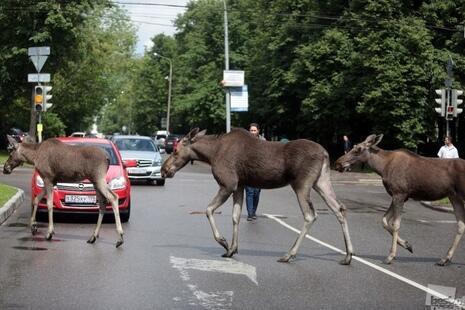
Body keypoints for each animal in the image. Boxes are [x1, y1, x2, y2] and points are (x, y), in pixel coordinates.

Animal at [161, 127, 354, 266]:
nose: (164, 170)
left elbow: (208, 210)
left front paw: (223, 242)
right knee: (339, 208)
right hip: (321, 182)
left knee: (310, 215)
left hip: (302, 185)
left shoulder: (228, 184)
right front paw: (232, 249)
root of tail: (326, 154)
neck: (210, 154)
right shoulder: (239, 186)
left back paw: (289, 254)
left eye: (175, 151)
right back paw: (348, 256)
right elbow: (235, 216)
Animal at [338, 134, 464, 266]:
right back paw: (445, 258)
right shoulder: (400, 196)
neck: (382, 167)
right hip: (454, 196)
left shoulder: (399, 194)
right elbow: (384, 220)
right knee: (461, 225)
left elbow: (395, 224)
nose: (338, 163)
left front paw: (391, 256)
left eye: (358, 149)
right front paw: (407, 245)